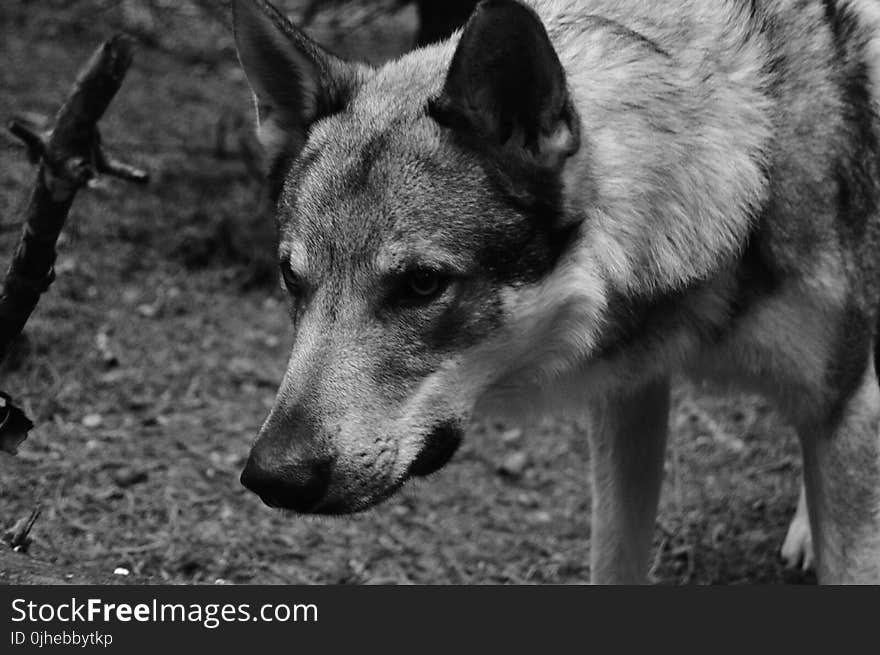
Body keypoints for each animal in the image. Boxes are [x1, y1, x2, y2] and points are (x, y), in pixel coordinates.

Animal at [230, 0, 880, 584]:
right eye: (292, 278)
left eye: (422, 283)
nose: (273, 477)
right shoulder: (628, 394)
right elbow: (614, 565)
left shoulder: (847, 406)